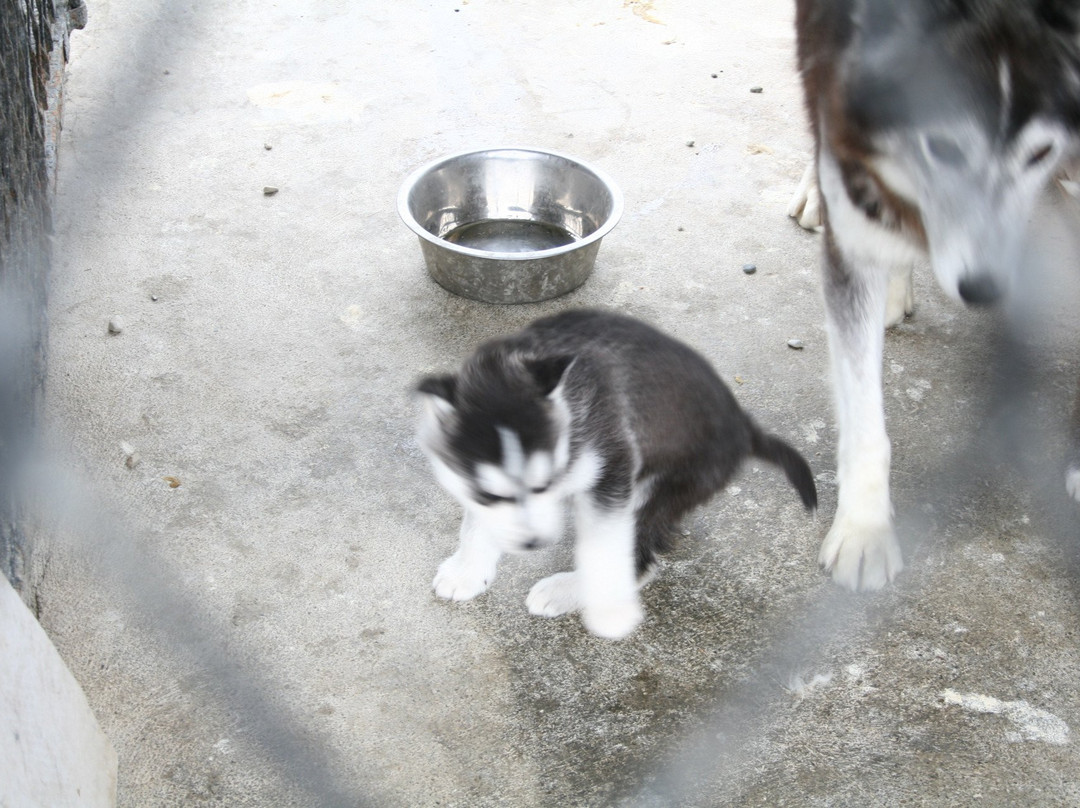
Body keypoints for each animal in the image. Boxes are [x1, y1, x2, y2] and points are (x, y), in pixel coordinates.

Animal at [414, 308, 816, 639]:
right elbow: (475, 523)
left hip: (661, 486)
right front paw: (467, 571)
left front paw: (608, 613)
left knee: (639, 558)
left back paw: (570, 590)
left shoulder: (613, 465)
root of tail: (745, 426)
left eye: (546, 484)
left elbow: (604, 545)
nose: (534, 544)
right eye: (490, 495)